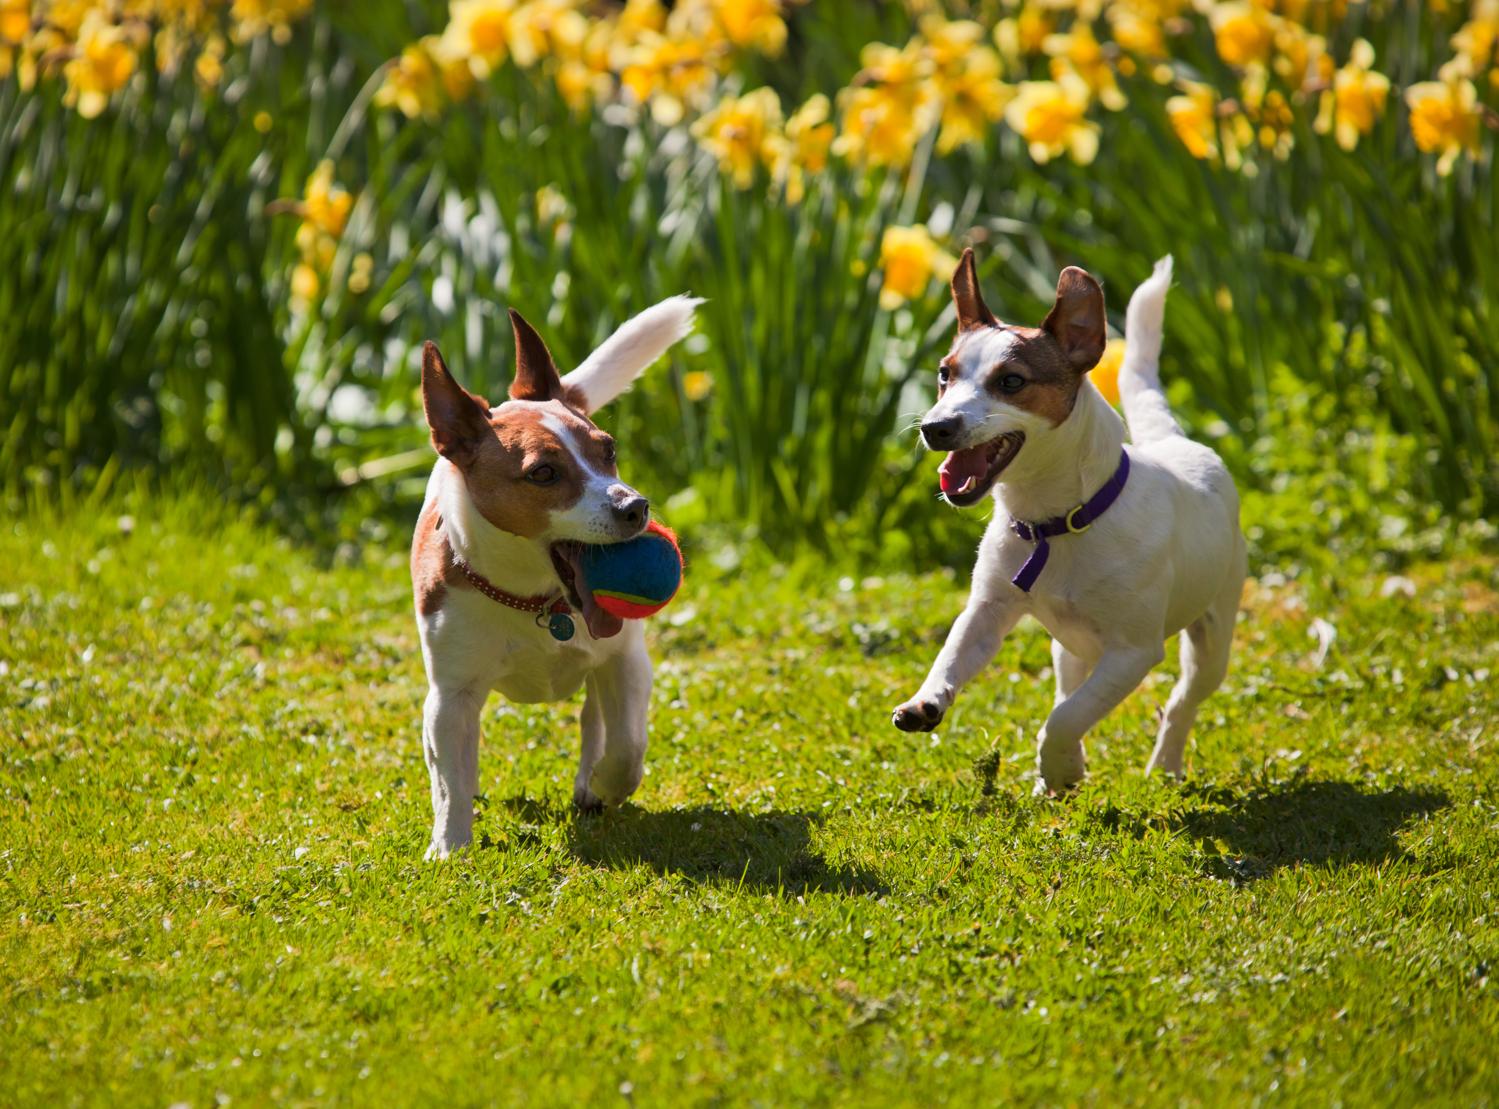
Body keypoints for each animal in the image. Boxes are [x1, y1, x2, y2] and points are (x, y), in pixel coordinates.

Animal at [413, 298, 698, 863]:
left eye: (609, 451)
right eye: (543, 474)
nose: (635, 507)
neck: (535, 601)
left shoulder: (626, 660)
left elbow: (628, 747)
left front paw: (607, 784)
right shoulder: (450, 697)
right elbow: (450, 780)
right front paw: (450, 846)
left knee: (597, 721)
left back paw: (592, 781)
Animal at [893, 251, 1247, 791]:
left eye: (1011, 381)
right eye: (943, 374)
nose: (935, 427)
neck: (1057, 523)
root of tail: (1172, 440)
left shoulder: (1132, 653)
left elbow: (1064, 719)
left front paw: (1061, 766)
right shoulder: (987, 611)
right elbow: (953, 655)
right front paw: (926, 701)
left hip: (1212, 640)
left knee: (1181, 701)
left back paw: (1164, 765)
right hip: (1070, 648)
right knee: (1070, 685)